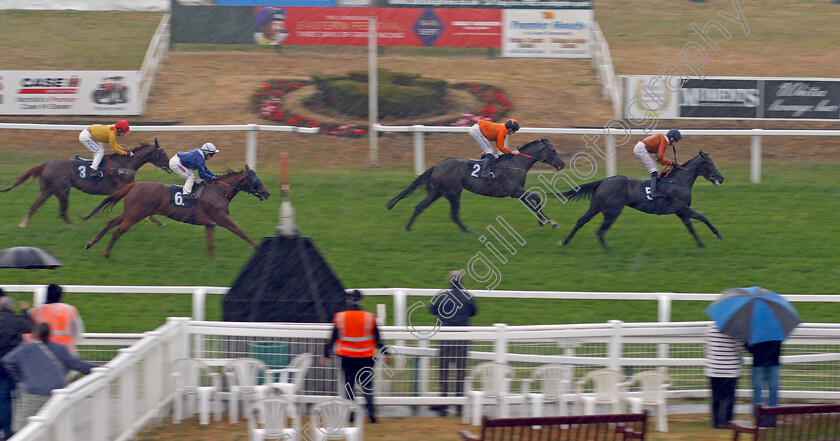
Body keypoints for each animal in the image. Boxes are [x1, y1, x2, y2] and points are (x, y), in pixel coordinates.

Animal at [0, 139, 172, 229]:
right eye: (163, 153)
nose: (170, 167)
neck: (124, 165)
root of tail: (46, 164)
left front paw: (154, 220)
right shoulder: (122, 189)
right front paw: (158, 221)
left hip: (49, 191)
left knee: (37, 206)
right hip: (61, 190)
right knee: (59, 211)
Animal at [83, 165, 270, 258]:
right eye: (256, 180)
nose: (267, 193)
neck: (218, 191)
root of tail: (136, 184)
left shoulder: (210, 223)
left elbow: (210, 243)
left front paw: (212, 260)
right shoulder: (222, 218)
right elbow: (241, 232)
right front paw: (258, 248)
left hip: (131, 212)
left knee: (110, 223)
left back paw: (90, 243)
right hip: (134, 215)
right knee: (117, 231)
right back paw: (106, 253)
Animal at [386, 139, 564, 232]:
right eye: (553, 150)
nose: (562, 164)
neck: (516, 164)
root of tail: (438, 165)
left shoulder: (518, 193)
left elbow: (534, 204)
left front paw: (545, 221)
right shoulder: (515, 191)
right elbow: (537, 198)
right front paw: (551, 222)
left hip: (436, 192)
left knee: (419, 207)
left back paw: (408, 227)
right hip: (453, 192)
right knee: (454, 214)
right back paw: (467, 230)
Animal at [556, 150, 720, 248]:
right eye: (711, 164)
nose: (721, 178)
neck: (678, 181)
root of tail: (603, 181)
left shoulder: (681, 211)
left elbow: (691, 228)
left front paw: (701, 244)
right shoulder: (682, 208)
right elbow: (703, 217)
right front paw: (718, 235)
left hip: (595, 207)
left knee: (580, 222)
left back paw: (565, 241)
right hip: (612, 211)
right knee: (600, 231)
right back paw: (607, 249)